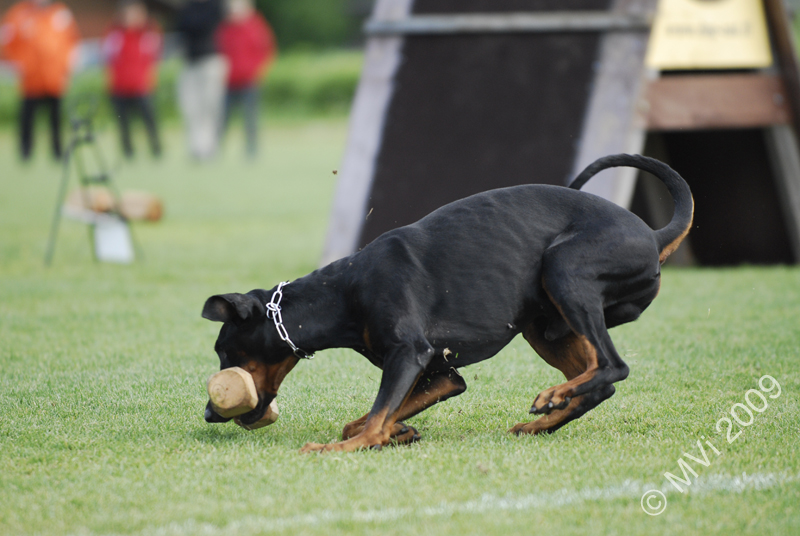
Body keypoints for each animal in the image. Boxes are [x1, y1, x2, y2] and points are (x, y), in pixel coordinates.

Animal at [203, 155, 692, 452]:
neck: (345, 289)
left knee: (613, 366)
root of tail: (654, 235)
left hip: (565, 268)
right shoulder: (441, 374)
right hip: (544, 324)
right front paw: (399, 431)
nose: (209, 412)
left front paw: (340, 447)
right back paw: (543, 420)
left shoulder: (409, 354)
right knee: (599, 379)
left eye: (224, 350)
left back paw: (553, 397)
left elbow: (372, 421)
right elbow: (375, 417)